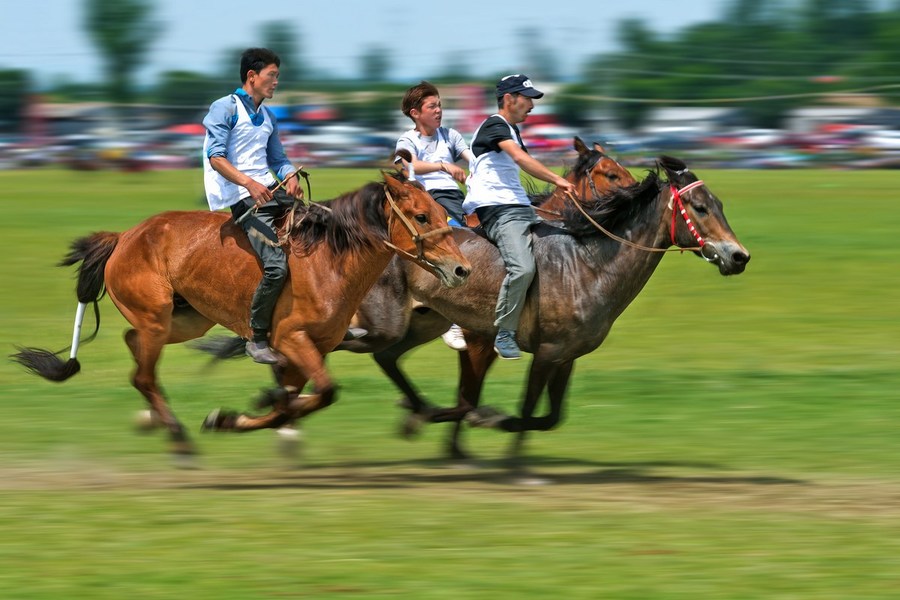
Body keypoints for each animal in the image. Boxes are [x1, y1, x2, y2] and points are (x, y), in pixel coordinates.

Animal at [14, 172, 472, 454]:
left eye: (440, 211)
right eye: (421, 216)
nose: (461, 269)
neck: (329, 259)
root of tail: (125, 235)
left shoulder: (312, 350)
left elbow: (291, 402)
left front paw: (232, 419)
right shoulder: (292, 341)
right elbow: (322, 392)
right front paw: (242, 416)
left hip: (186, 320)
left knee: (134, 348)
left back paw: (159, 421)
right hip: (156, 316)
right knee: (143, 373)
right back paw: (177, 437)